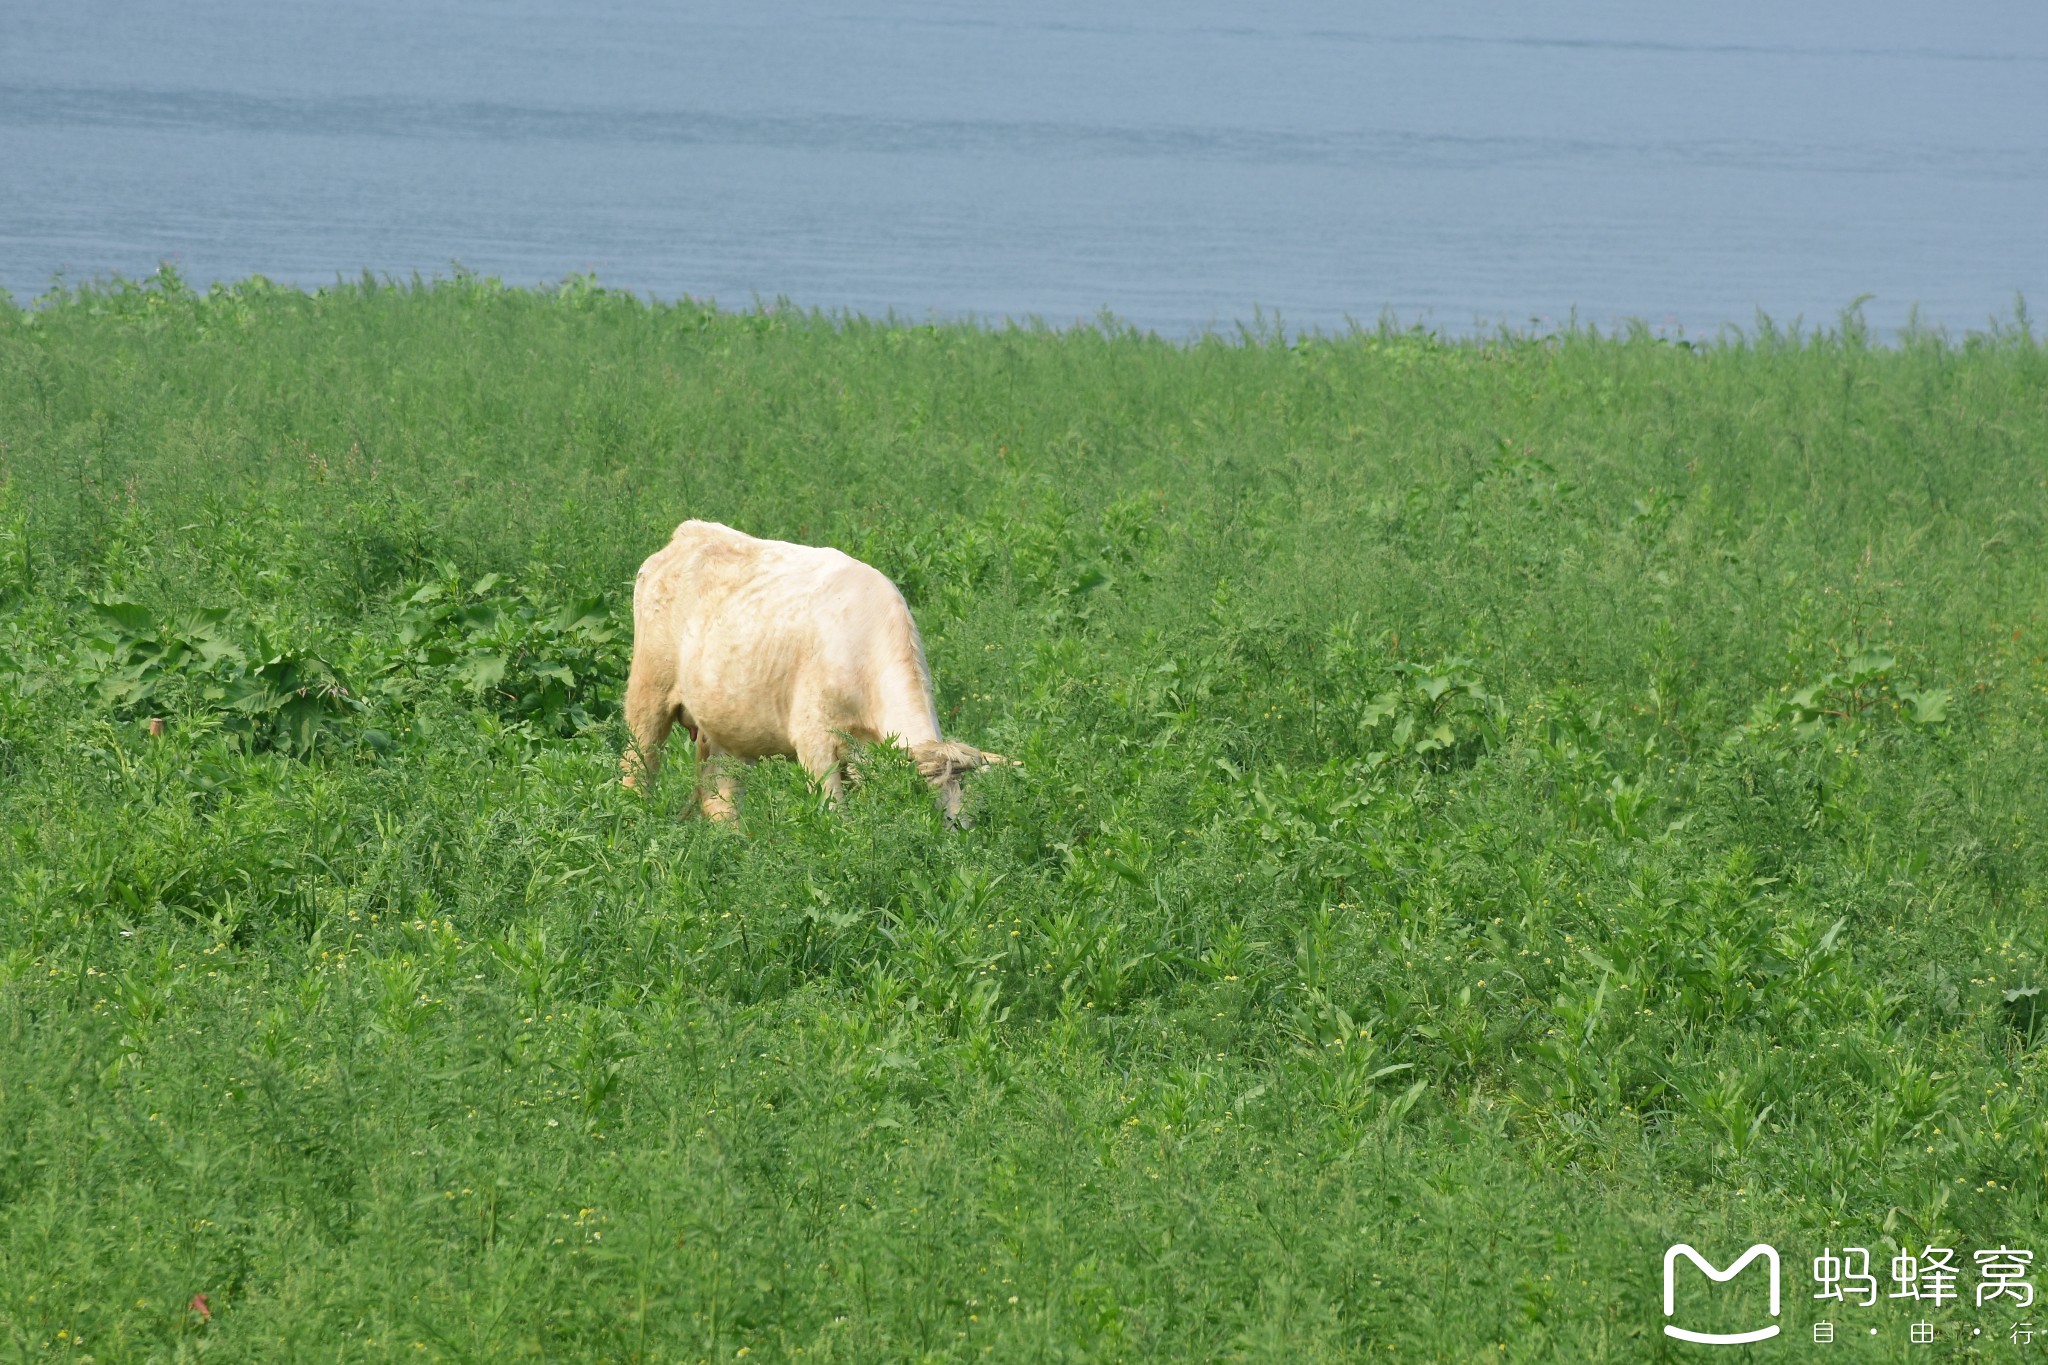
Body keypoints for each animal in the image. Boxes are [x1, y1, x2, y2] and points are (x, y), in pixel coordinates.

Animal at [618, 519, 1011, 822]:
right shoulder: (814, 742)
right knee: (638, 766)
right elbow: (836, 817)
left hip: (726, 726)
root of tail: (690, 533)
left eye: (961, 814)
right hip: (649, 694)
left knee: (720, 800)